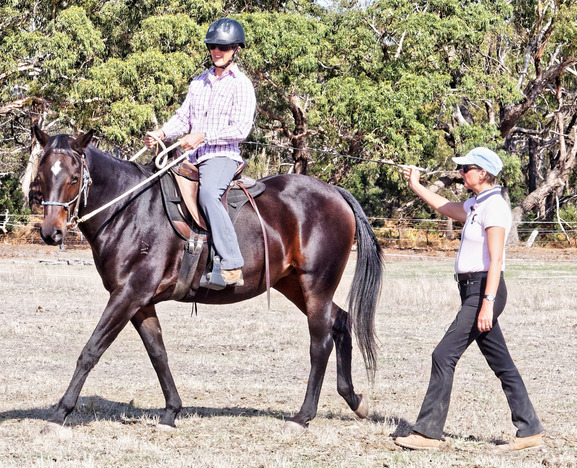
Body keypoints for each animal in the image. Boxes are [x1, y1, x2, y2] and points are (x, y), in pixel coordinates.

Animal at [30, 126, 382, 434]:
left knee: (320, 343)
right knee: (341, 321)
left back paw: (302, 417)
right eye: (42, 176)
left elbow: (91, 350)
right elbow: (158, 353)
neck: (130, 210)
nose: (51, 233)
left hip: (316, 286)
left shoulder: (127, 295)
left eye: (74, 178)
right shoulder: (140, 302)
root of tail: (334, 192)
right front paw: (171, 412)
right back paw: (354, 400)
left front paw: (60, 413)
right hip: (294, 285)